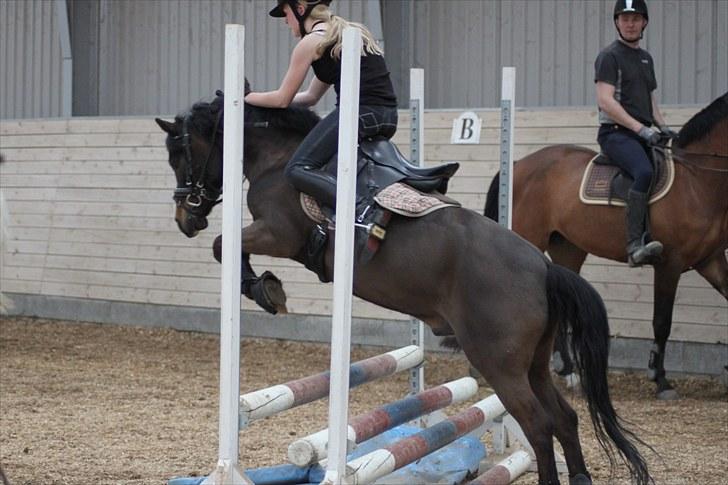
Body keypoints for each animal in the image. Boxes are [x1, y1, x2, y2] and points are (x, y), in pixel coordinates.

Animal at [155, 90, 653, 485]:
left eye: (179, 153)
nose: (185, 219)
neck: (279, 158)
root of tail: (544, 269)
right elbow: (226, 246)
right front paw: (263, 286)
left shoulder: (279, 233)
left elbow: (224, 245)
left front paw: (262, 289)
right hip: (532, 363)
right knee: (564, 419)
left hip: (499, 363)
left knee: (538, 423)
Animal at [484, 93, 728, 400]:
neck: (697, 182)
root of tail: (518, 165)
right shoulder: (669, 264)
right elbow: (662, 322)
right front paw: (660, 380)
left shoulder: (711, 260)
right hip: (528, 239)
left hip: (567, 249)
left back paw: (569, 372)